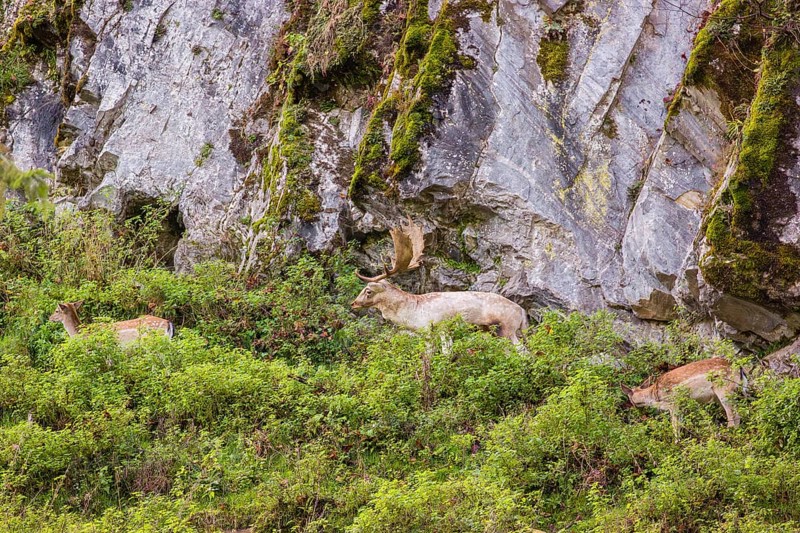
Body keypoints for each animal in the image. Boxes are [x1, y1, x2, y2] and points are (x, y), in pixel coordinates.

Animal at [351, 219, 529, 344]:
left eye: (368, 291)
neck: (413, 315)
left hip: (506, 328)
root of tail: (522, 312)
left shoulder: (435, 328)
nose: (353, 303)